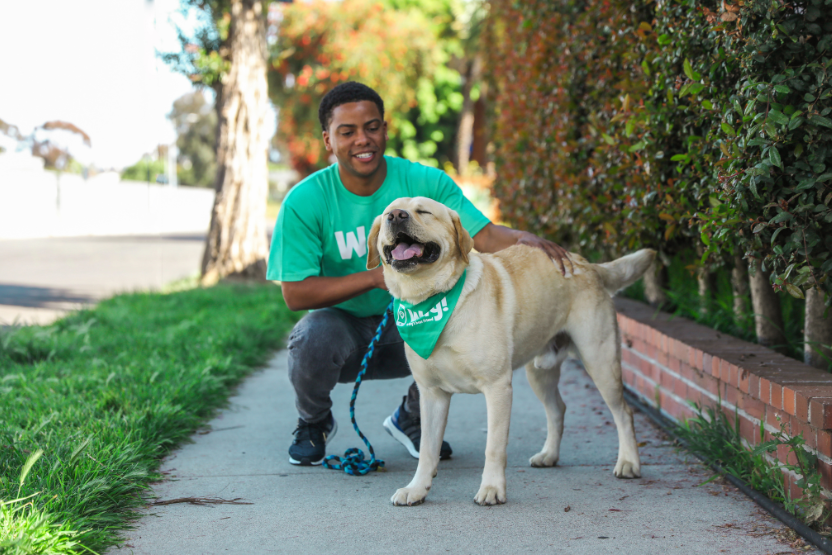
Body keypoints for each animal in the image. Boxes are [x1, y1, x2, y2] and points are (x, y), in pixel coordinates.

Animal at [368, 198, 656, 506]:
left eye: (423, 211)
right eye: (387, 214)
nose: (396, 216)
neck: (432, 301)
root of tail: (587, 264)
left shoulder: (497, 388)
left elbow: (493, 447)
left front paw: (492, 488)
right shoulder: (431, 393)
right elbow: (427, 449)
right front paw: (417, 488)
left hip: (600, 361)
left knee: (624, 412)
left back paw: (629, 463)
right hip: (539, 373)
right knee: (558, 409)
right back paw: (549, 455)